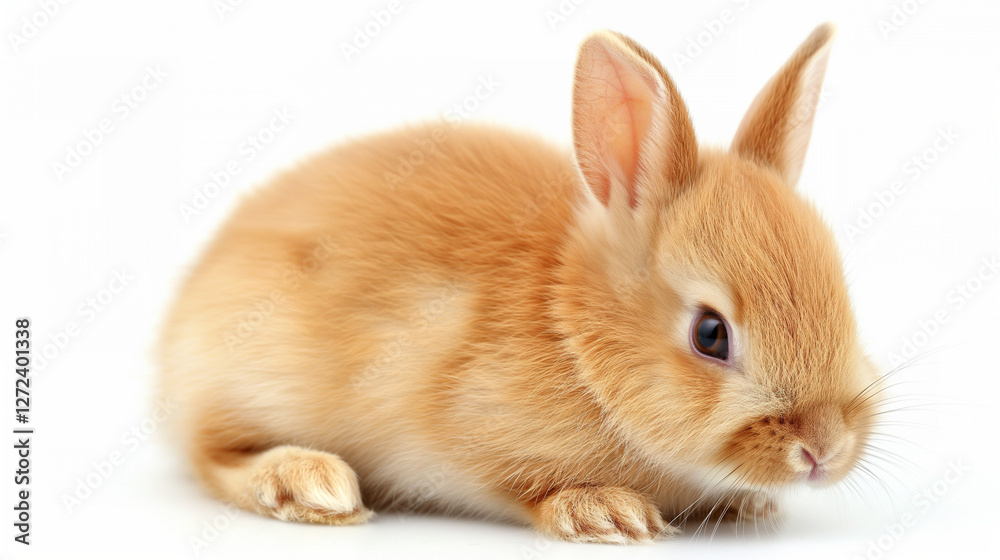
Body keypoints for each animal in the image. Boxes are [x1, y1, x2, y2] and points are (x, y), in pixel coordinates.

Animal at [159, 23, 882, 544]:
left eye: (847, 304)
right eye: (710, 334)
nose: (825, 450)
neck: (576, 338)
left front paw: (748, 506)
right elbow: (523, 487)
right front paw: (604, 514)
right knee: (209, 455)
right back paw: (311, 483)